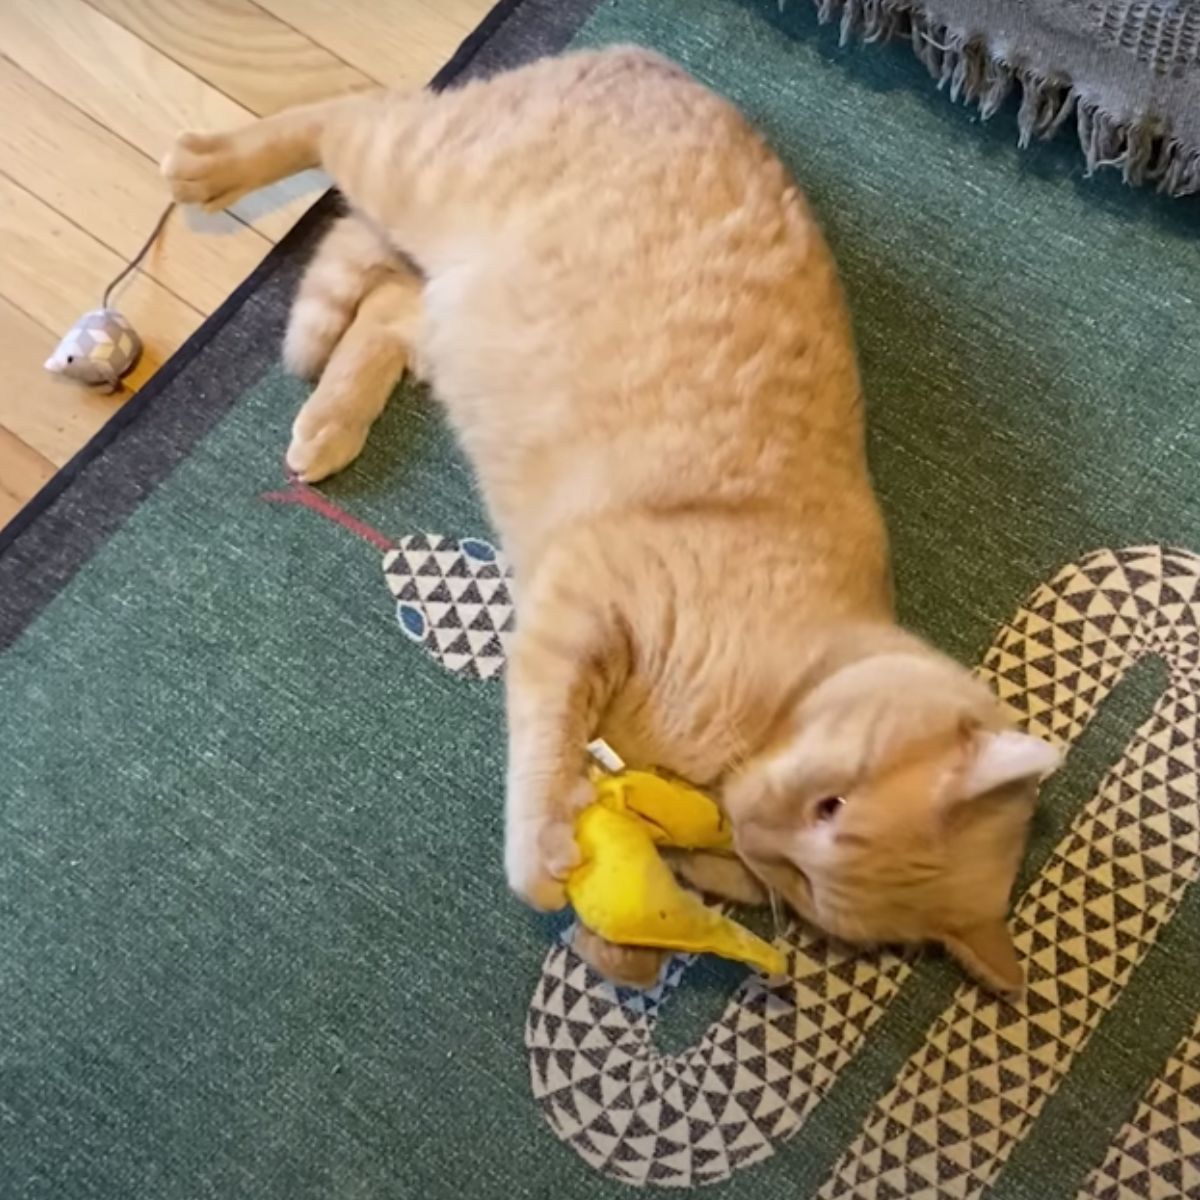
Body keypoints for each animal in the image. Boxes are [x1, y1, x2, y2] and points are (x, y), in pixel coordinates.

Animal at [164, 44, 1056, 993]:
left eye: (802, 883)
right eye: (829, 804)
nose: (754, 827)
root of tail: (650, 62)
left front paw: (620, 945)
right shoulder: (582, 600)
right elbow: (546, 745)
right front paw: (542, 850)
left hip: (454, 315)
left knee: (389, 302)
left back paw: (330, 418)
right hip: (413, 167)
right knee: (346, 114)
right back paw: (210, 166)